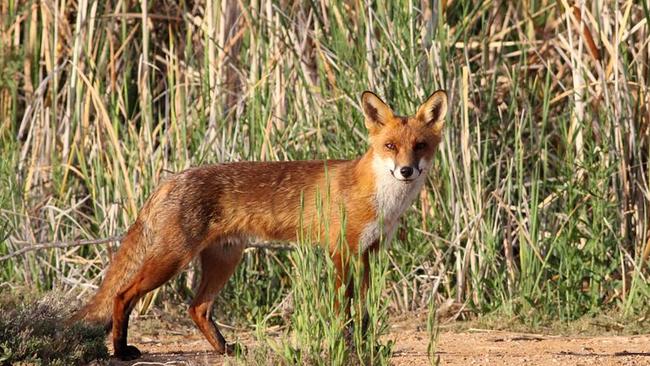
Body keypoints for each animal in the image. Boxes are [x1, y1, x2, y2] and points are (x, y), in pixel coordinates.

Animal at [69, 89, 446, 360]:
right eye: (390, 146)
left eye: (420, 146)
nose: (406, 171)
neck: (381, 201)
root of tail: (169, 180)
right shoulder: (341, 253)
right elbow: (344, 312)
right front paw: (346, 348)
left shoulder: (369, 254)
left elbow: (364, 313)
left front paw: (366, 348)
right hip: (171, 260)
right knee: (123, 295)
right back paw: (120, 351)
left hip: (224, 260)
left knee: (197, 308)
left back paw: (225, 350)